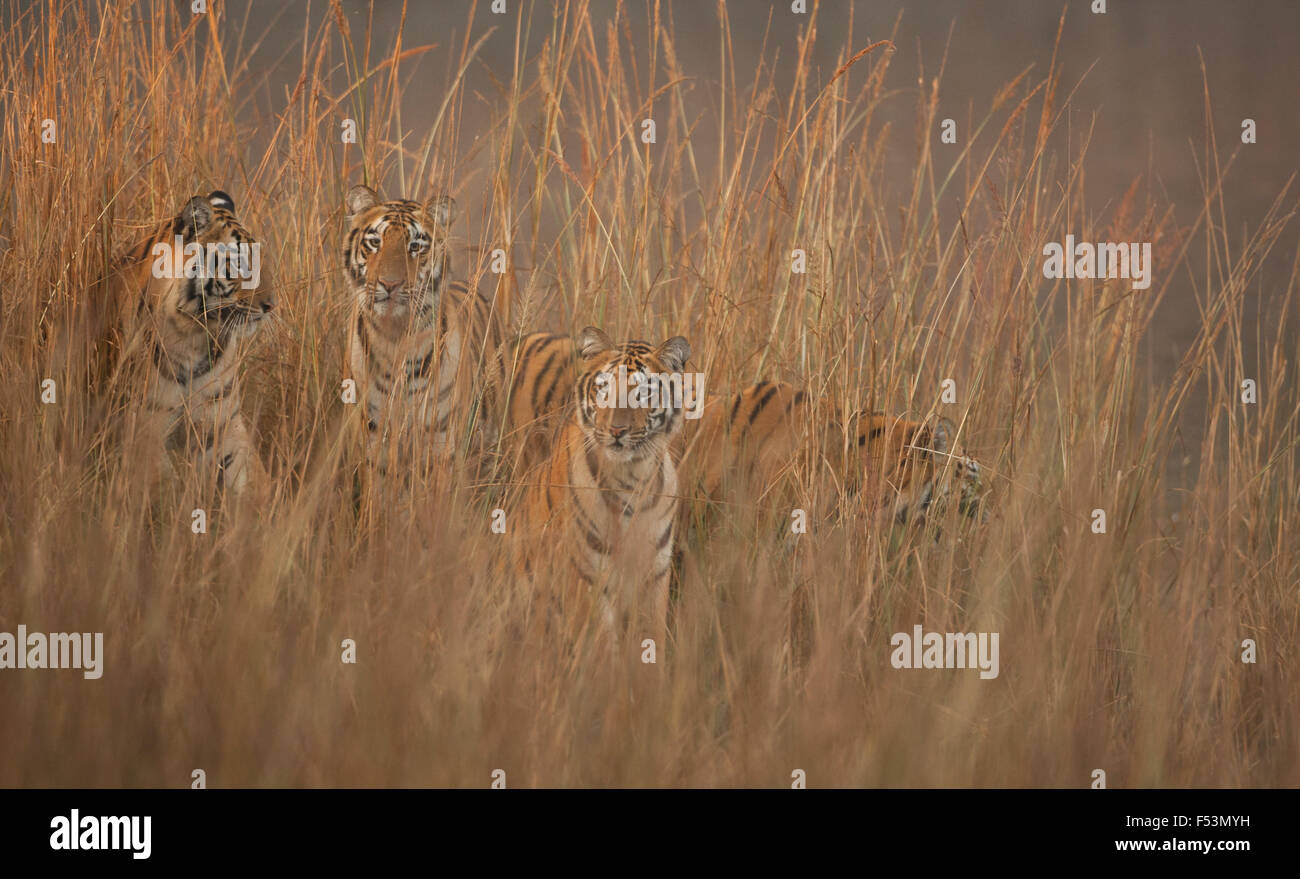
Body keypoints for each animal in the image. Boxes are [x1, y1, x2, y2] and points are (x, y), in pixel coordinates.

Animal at [102, 191, 274, 494]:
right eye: (238, 263)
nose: (270, 306)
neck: (194, 336)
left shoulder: (224, 425)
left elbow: (254, 483)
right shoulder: (145, 426)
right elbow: (165, 488)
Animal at [343, 180, 504, 478]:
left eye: (415, 246)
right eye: (375, 242)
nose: (390, 283)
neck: (395, 339)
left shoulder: (441, 443)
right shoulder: (372, 438)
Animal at [509, 327, 691, 644]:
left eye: (643, 393)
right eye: (603, 388)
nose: (616, 430)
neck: (634, 476)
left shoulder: (655, 574)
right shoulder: (585, 575)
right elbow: (601, 646)